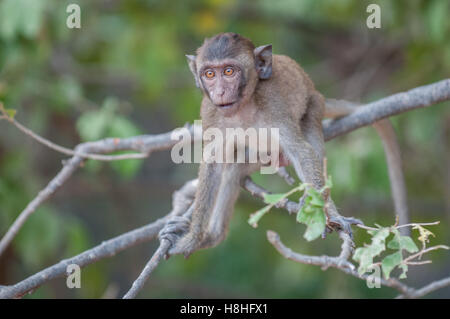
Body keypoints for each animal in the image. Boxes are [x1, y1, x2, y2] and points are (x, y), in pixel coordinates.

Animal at [158, 32, 362, 258]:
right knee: (232, 168)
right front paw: (194, 239)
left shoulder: (274, 105)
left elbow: (302, 152)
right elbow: (213, 164)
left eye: (229, 71)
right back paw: (214, 236)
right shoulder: (210, 111)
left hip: (315, 103)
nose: (219, 92)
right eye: (209, 74)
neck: (243, 108)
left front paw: (328, 215)